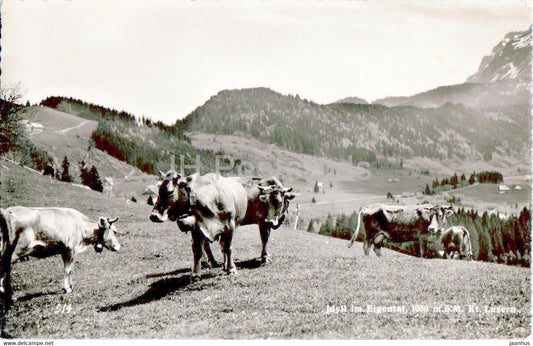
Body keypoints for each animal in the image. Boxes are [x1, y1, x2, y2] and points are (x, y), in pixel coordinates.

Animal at [150, 172, 298, 278]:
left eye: (279, 202)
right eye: (266, 201)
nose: (154, 215)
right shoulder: (261, 221)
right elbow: (264, 239)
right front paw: (264, 258)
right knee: (205, 244)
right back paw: (209, 262)